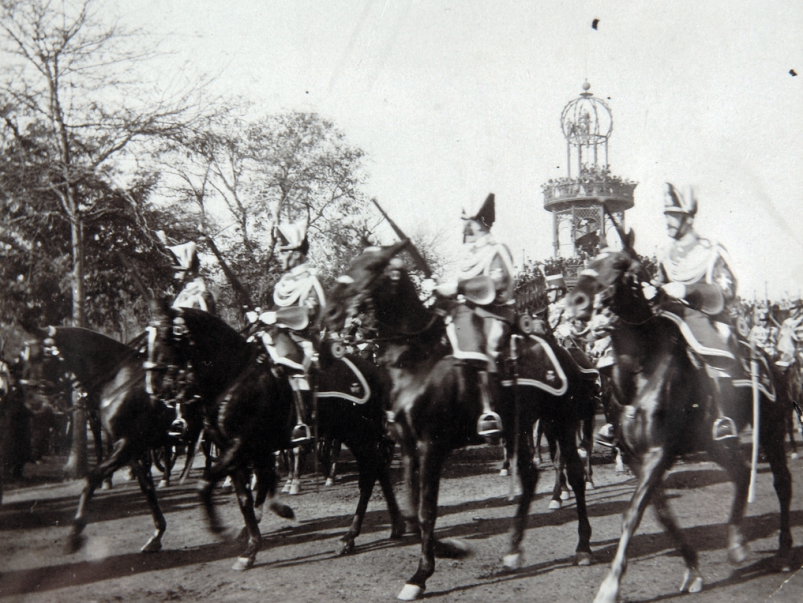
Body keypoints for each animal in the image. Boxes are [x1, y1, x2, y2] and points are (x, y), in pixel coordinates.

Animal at [322, 243, 596, 600]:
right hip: (520, 426)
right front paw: (448, 550)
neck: (415, 361)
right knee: (530, 475)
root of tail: (563, 351)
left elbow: (426, 511)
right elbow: (413, 511)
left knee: (574, 473)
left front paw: (421, 575)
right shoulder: (408, 447)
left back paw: (583, 546)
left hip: (561, 421)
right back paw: (513, 550)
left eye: (370, 268)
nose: (329, 312)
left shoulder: (431, 447)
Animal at [568, 231, 796, 603]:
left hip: (773, 433)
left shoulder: (659, 452)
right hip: (713, 442)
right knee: (740, 471)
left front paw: (610, 585)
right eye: (589, 261)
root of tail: (770, 359)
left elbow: (633, 513)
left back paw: (785, 551)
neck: (642, 370)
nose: (575, 301)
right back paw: (736, 543)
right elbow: (662, 515)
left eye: (618, 264)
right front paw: (692, 569)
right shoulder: (637, 456)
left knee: (782, 483)